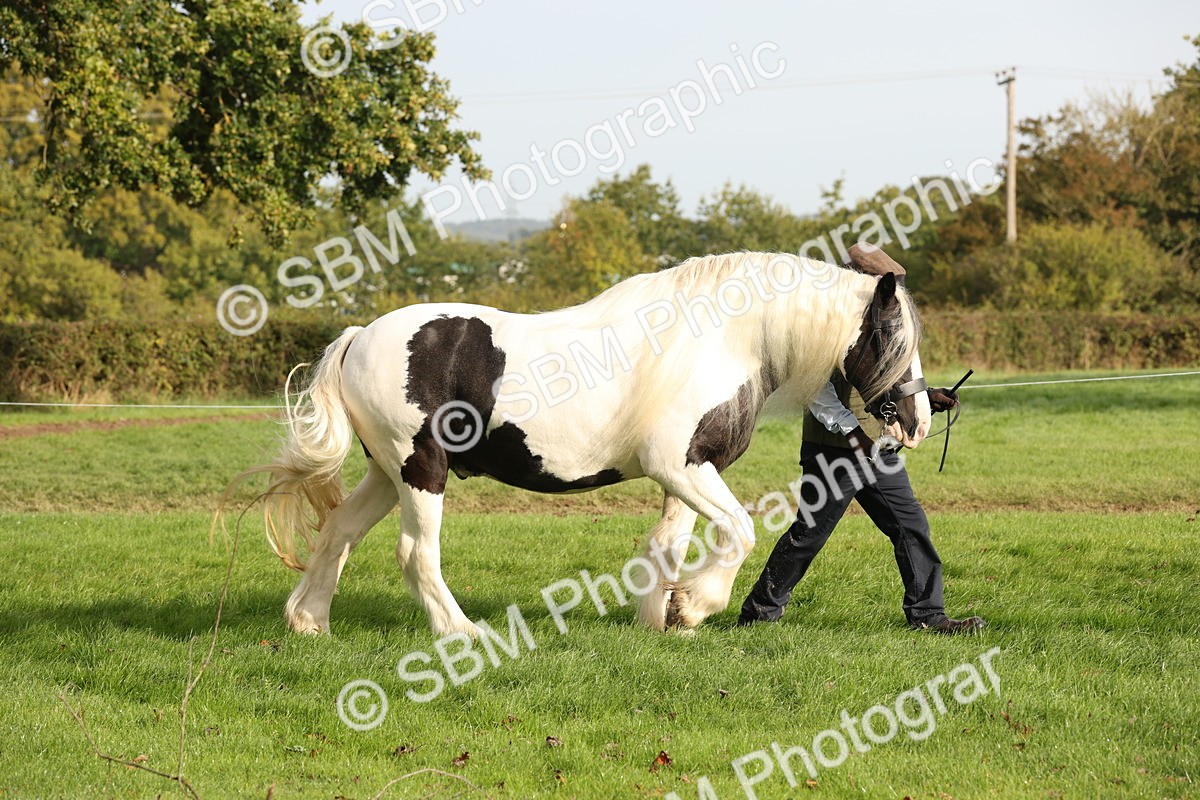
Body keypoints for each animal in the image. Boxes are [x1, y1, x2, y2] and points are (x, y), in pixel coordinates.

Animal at [231, 249, 930, 637]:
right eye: (890, 336)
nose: (919, 420)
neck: (721, 338)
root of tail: (360, 336)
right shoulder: (680, 467)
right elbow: (739, 530)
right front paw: (694, 608)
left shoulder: (686, 473)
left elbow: (667, 544)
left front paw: (664, 621)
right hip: (421, 470)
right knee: (415, 553)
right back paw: (461, 633)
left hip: (385, 472)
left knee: (338, 532)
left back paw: (310, 623)